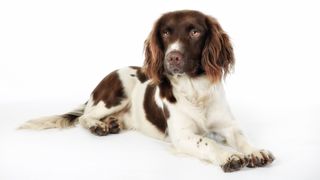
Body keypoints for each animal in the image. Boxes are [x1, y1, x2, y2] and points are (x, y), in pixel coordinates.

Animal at [19, 10, 276, 173]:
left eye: (195, 32)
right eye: (165, 33)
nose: (172, 57)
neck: (195, 90)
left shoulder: (228, 125)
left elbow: (242, 137)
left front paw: (256, 152)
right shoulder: (182, 135)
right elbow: (208, 142)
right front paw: (228, 156)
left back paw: (112, 123)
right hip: (117, 92)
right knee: (85, 117)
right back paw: (98, 126)